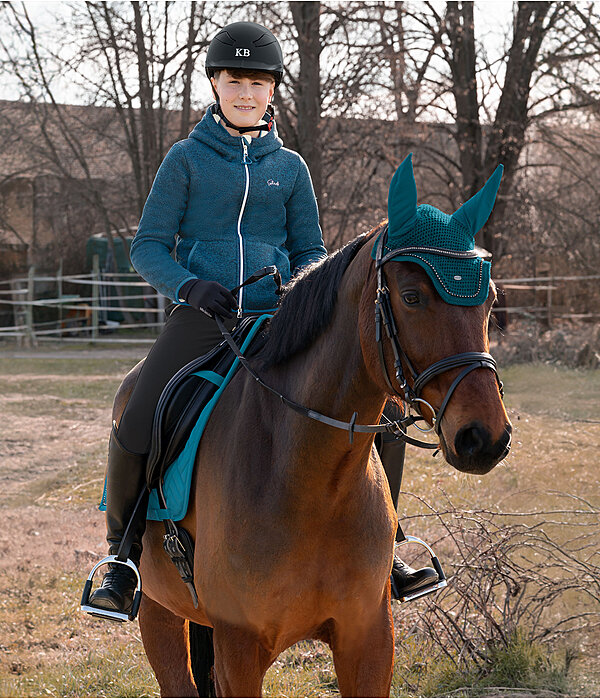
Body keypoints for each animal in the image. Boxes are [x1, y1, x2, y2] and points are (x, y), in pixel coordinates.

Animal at [108, 208, 510, 696]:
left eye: (490, 301)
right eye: (412, 297)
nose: (484, 437)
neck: (312, 481)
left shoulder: (369, 640)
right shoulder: (238, 650)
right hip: (159, 610)